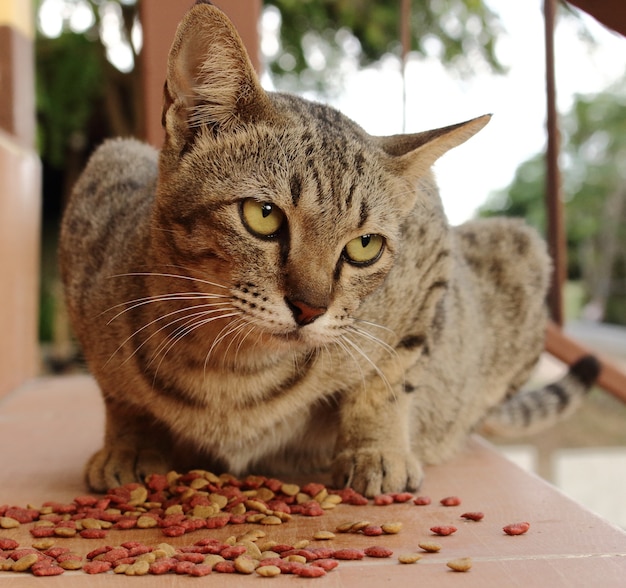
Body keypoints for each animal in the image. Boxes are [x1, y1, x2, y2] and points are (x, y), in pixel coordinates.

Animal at [59, 0, 600, 496]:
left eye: (364, 245)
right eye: (263, 215)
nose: (309, 308)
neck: (232, 371)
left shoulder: (430, 262)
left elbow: (389, 377)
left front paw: (376, 449)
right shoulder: (100, 189)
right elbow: (120, 396)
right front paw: (130, 445)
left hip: (520, 251)